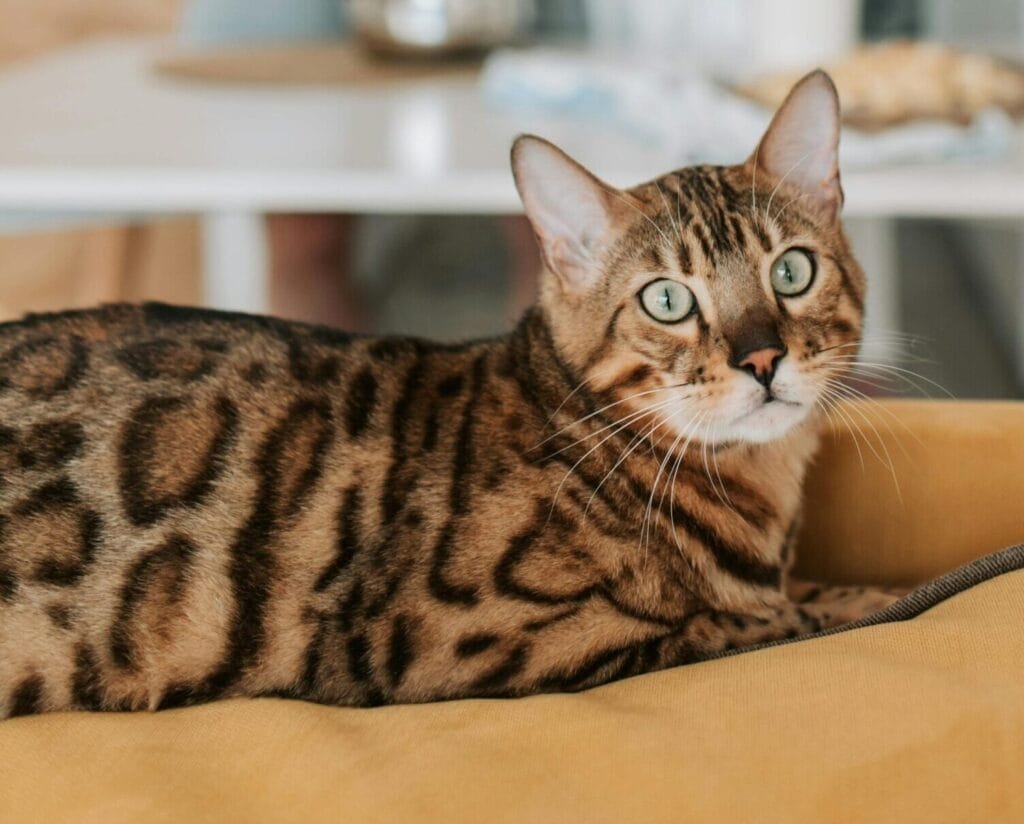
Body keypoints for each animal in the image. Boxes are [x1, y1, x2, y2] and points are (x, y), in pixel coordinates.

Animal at [0, 72, 901, 712]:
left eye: (792, 270)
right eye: (668, 301)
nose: (762, 358)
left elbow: (801, 597)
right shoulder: (475, 639)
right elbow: (766, 620)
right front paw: (865, 598)